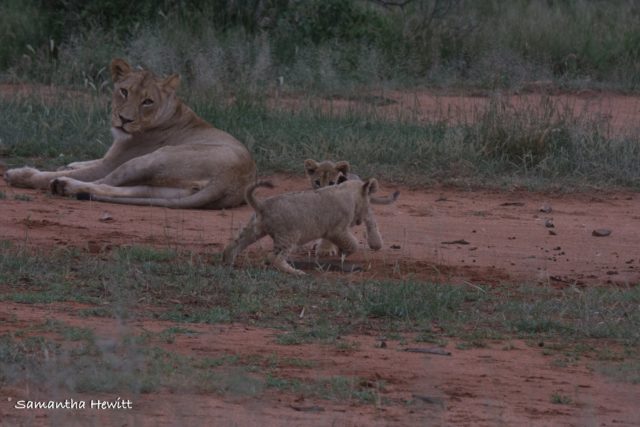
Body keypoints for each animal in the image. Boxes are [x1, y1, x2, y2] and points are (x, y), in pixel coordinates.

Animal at [3, 58, 256, 209]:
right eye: (124, 91)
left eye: (147, 101)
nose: (124, 119)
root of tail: (232, 180)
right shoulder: (111, 156)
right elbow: (89, 160)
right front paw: (70, 164)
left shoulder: (114, 160)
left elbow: (89, 169)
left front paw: (25, 174)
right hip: (163, 191)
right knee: (115, 188)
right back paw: (67, 185)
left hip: (151, 159)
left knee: (104, 180)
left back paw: (58, 183)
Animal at [222, 178, 381, 275]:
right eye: (368, 201)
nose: (360, 221)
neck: (348, 191)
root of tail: (262, 205)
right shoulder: (337, 230)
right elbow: (353, 244)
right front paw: (345, 252)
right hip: (289, 236)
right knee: (275, 258)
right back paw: (295, 272)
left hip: (254, 230)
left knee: (234, 246)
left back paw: (228, 262)